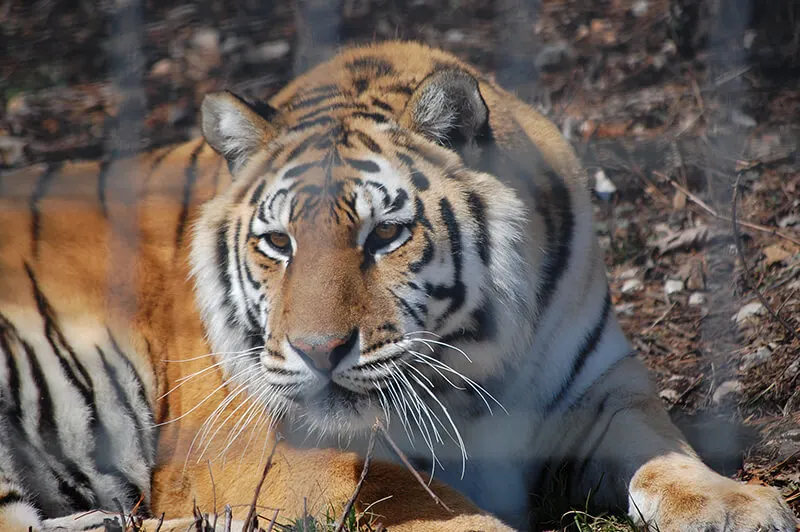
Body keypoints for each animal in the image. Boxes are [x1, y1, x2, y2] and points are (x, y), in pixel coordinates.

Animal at [0, 39, 796, 528]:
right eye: (278, 243)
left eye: (383, 235)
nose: (318, 351)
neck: (471, 367)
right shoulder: (291, 452)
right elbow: (442, 510)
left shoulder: (601, 391)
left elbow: (666, 454)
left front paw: (739, 506)